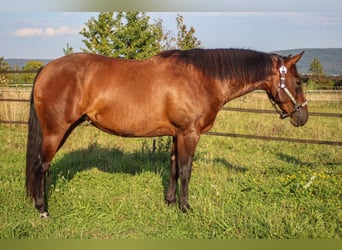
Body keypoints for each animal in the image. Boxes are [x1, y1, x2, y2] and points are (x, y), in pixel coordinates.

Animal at [25, 47, 308, 218]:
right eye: (297, 82)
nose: (302, 117)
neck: (202, 79)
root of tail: (47, 69)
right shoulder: (189, 134)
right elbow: (185, 171)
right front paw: (185, 208)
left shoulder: (176, 134)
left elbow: (172, 168)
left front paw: (170, 202)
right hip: (56, 132)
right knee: (40, 166)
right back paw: (43, 210)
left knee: (44, 167)